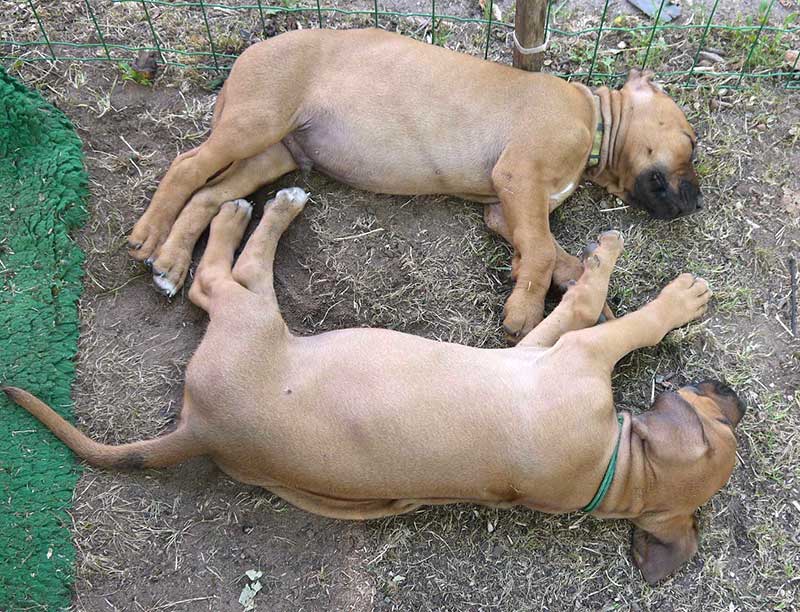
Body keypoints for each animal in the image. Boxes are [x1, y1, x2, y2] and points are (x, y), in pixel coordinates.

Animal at [7, 186, 744, 584]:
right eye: (717, 411)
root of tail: (199, 430)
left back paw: (255, 211)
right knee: (219, 281)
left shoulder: (580, 348)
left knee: (220, 282)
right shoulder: (547, 344)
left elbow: (619, 316)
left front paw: (661, 291)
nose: (729, 389)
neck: (619, 467)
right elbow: (592, 300)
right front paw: (609, 261)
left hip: (252, 323)